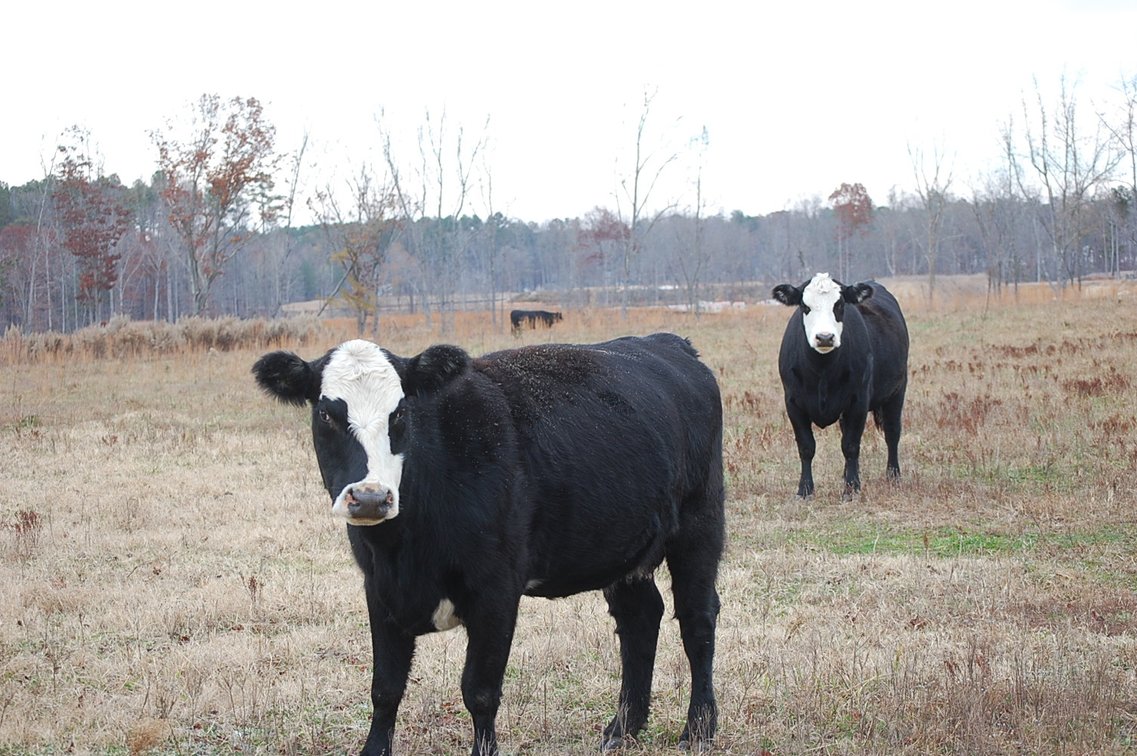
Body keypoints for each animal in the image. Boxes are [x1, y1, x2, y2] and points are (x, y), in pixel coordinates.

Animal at [252, 333, 725, 755]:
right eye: (326, 415)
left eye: (400, 413)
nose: (370, 497)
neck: (404, 549)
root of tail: (668, 343)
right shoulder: (379, 589)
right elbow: (385, 687)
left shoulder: (496, 592)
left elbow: (479, 692)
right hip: (622, 547)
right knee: (640, 619)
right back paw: (622, 729)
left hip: (700, 525)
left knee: (697, 621)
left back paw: (698, 729)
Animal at [771, 272, 909, 498]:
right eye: (805, 306)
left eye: (840, 304)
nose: (825, 337)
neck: (822, 371)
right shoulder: (793, 402)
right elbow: (806, 447)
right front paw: (805, 489)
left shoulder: (858, 401)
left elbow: (851, 445)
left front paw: (851, 489)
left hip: (897, 391)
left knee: (892, 433)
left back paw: (893, 476)